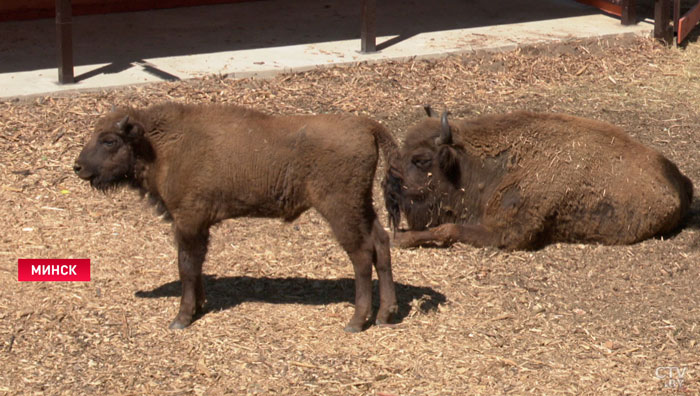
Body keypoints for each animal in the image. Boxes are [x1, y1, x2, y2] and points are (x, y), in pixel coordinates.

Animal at [75, 103, 400, 332]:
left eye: (109, 140)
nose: (78, 167)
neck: (161, 146)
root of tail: (366, 125)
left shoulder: (189, 221)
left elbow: (186, 266)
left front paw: (181, 318)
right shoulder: (198, 226)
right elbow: (196, 265)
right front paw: (199, 306)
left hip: (341, 209)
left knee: (362, 255)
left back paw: (356, 322)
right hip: (362, 206)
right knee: (381, 244)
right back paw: (386, 314)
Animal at [386, 108, 692, 249]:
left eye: (421, 160)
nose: (390, 187)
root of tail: (682, 181)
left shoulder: (507, 232)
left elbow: (448, 229)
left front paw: (402, 238)